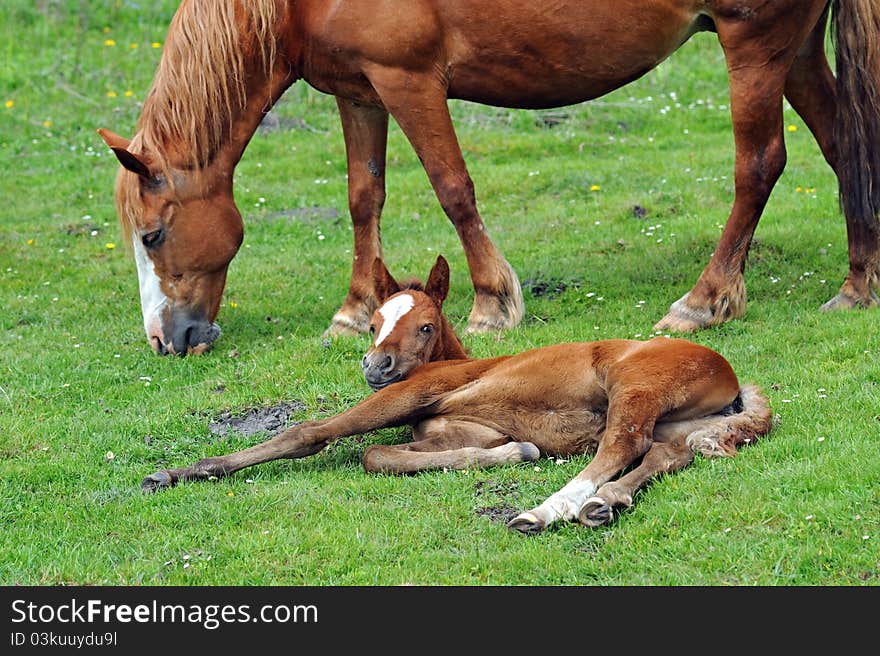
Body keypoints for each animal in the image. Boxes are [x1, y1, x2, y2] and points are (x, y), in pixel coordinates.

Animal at [98, 0, 880, 356]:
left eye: (154, 235)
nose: (164, 339)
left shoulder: (409, 81)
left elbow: (453, 189)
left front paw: (491, 302)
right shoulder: (359, 92)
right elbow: (363, 198)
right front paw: (354, 308)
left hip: (756, 44)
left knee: (761, 165)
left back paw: (705, 300)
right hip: (794, 47)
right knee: (846, 146)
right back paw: (857, 283)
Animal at [141, 255, 772, 532]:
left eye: (424, 326)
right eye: (373, 323)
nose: (375, 364)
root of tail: (731, 373)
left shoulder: (407, 396)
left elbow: (314, 434)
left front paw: (181, 472)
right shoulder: (450, 429)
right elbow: (383, 455)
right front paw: (514, 451)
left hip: (634, 388)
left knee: (621, 444)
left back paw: (546, 511)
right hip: (680, 426)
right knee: (664, 454)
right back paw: (603, 504)